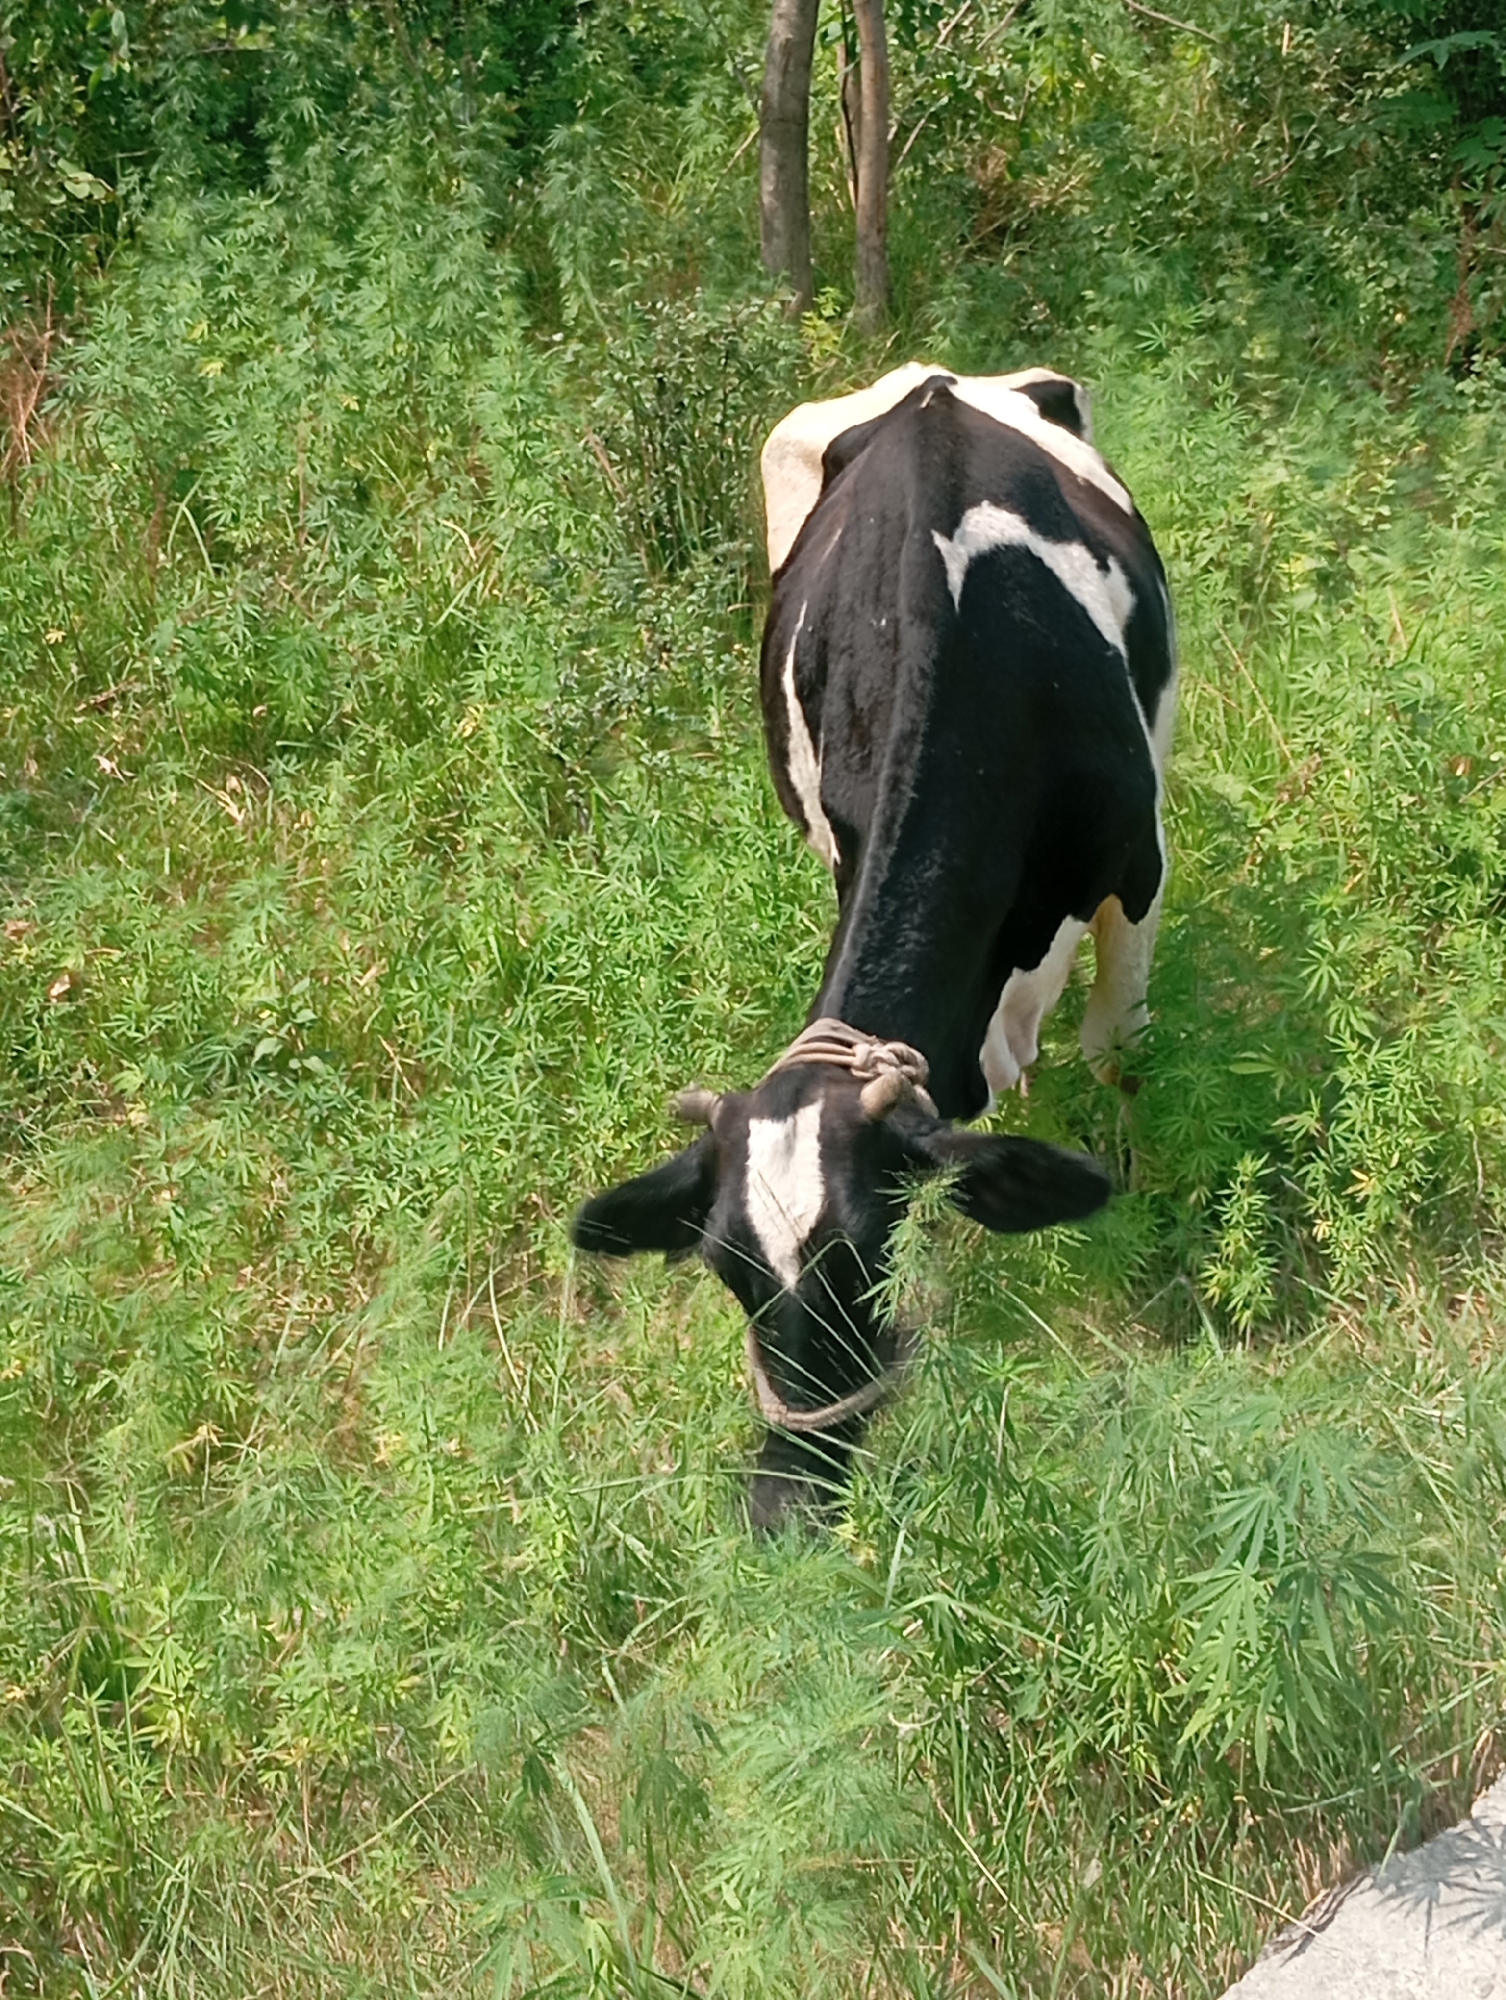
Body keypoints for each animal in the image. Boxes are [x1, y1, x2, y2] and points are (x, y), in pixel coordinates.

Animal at [572, 362, 1176, 1533]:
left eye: (868, 1254)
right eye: (725, 1269)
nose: (782, 1497)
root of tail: (936, 381)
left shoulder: (1138, 859)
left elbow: (1119, 1053)